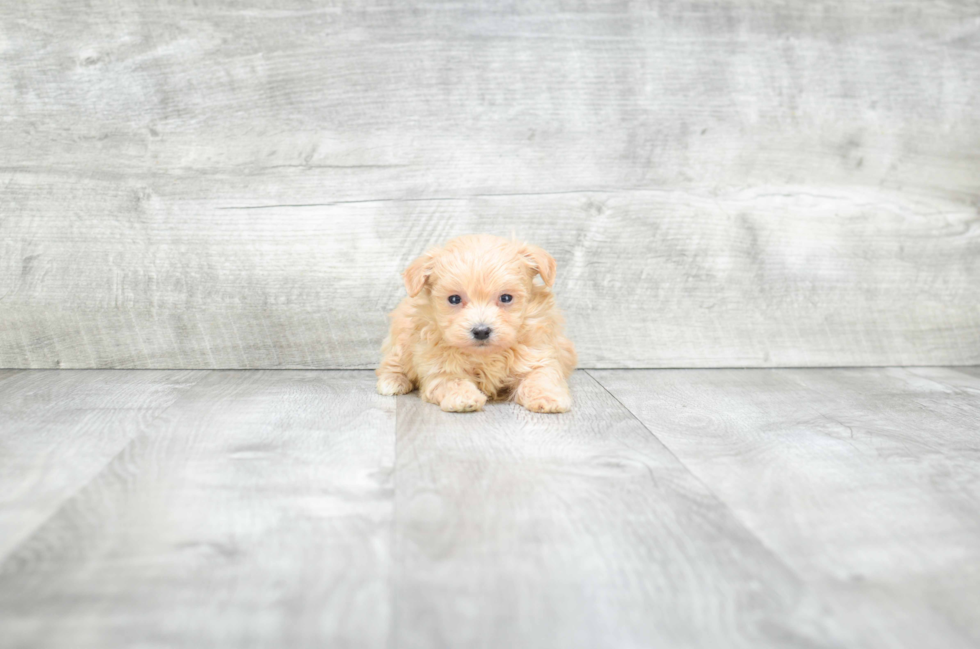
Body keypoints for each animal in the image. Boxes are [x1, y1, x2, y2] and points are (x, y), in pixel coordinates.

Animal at [374, 235, 576, 412]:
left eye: (506, 298)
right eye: (454, 299)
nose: (481, 331)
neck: (485, 355)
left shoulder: (538, 356)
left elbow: (541, 377)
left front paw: (548, 398)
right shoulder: (439, 367)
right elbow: (452, 381)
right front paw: (463, 398)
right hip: (400, 340)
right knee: (393, 362)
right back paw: (393, 381)